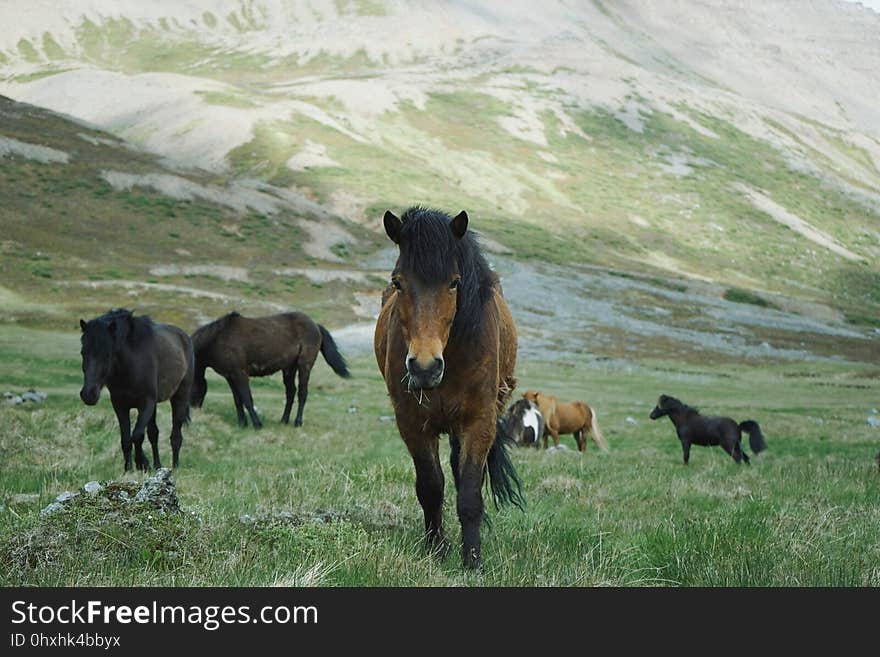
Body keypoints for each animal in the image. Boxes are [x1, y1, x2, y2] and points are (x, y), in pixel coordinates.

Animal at [79, 308, 194, 472]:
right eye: (83, 353)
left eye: (107, 354)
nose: (88, 394)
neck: (130, 365)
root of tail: (185, 337)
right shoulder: (120, 405)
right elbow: (126, 439)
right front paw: (128, 469)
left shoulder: (146, 403)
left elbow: (137, 435)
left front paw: (142, 463)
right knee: (153, 434)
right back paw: (158, 466)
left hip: (180, 397)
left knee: (176, 436)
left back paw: (175, 467)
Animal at [372, 206, 524, 568]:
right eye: (398, 282)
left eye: (454, 283)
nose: (425, 368)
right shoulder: (413, 423)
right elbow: (430, 487)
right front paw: (437, 549)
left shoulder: (478, 422)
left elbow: (469, 492)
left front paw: (472, 560)